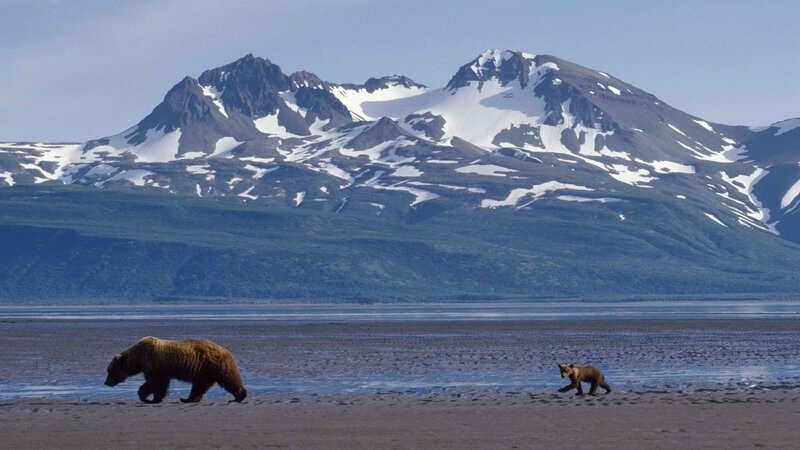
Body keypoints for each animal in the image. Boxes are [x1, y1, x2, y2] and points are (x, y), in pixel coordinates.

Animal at [105, 336, 247, 404]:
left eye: (110, 371)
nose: (106, 382)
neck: (139, 358)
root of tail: (226, 350)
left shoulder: (156, 365)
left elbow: (158, 383)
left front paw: (153, 399)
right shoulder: (153, 368)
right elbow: (150, 383)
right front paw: (143, 396)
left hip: (214, 365)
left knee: (228, 379)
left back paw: (239, 396)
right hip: (205, 371)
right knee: (200, 385)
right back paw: (188, 399)